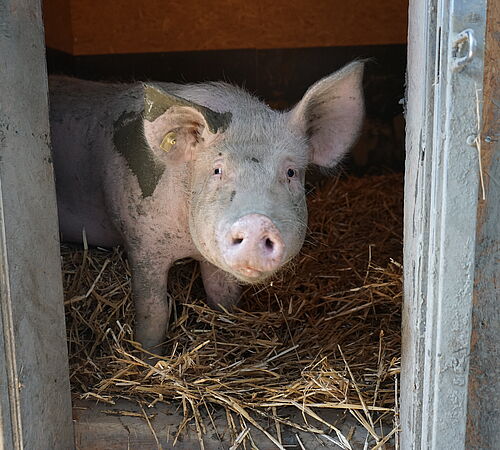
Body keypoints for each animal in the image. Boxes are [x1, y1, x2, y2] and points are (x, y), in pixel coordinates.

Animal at [48, 61, 366, 354]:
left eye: (290, 172)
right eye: (217, 170)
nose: (256, 222)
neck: (188, 245)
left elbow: (222, 296)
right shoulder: (141, 240)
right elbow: (154, 310)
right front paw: (150, 358)